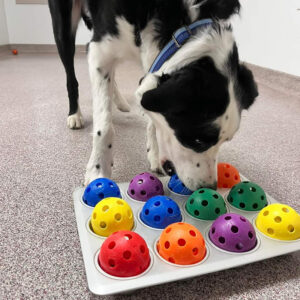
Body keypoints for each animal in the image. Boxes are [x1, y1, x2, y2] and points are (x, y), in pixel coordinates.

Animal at [48, 0, 258, 190]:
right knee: (71, 74)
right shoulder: (100, 50)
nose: (209, 187)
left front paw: (153, 154)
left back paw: (119, 101)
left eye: (226, 141)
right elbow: (105, 127)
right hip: (65, 24)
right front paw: (98, 170)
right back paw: (75, 114)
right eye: (197, 141)